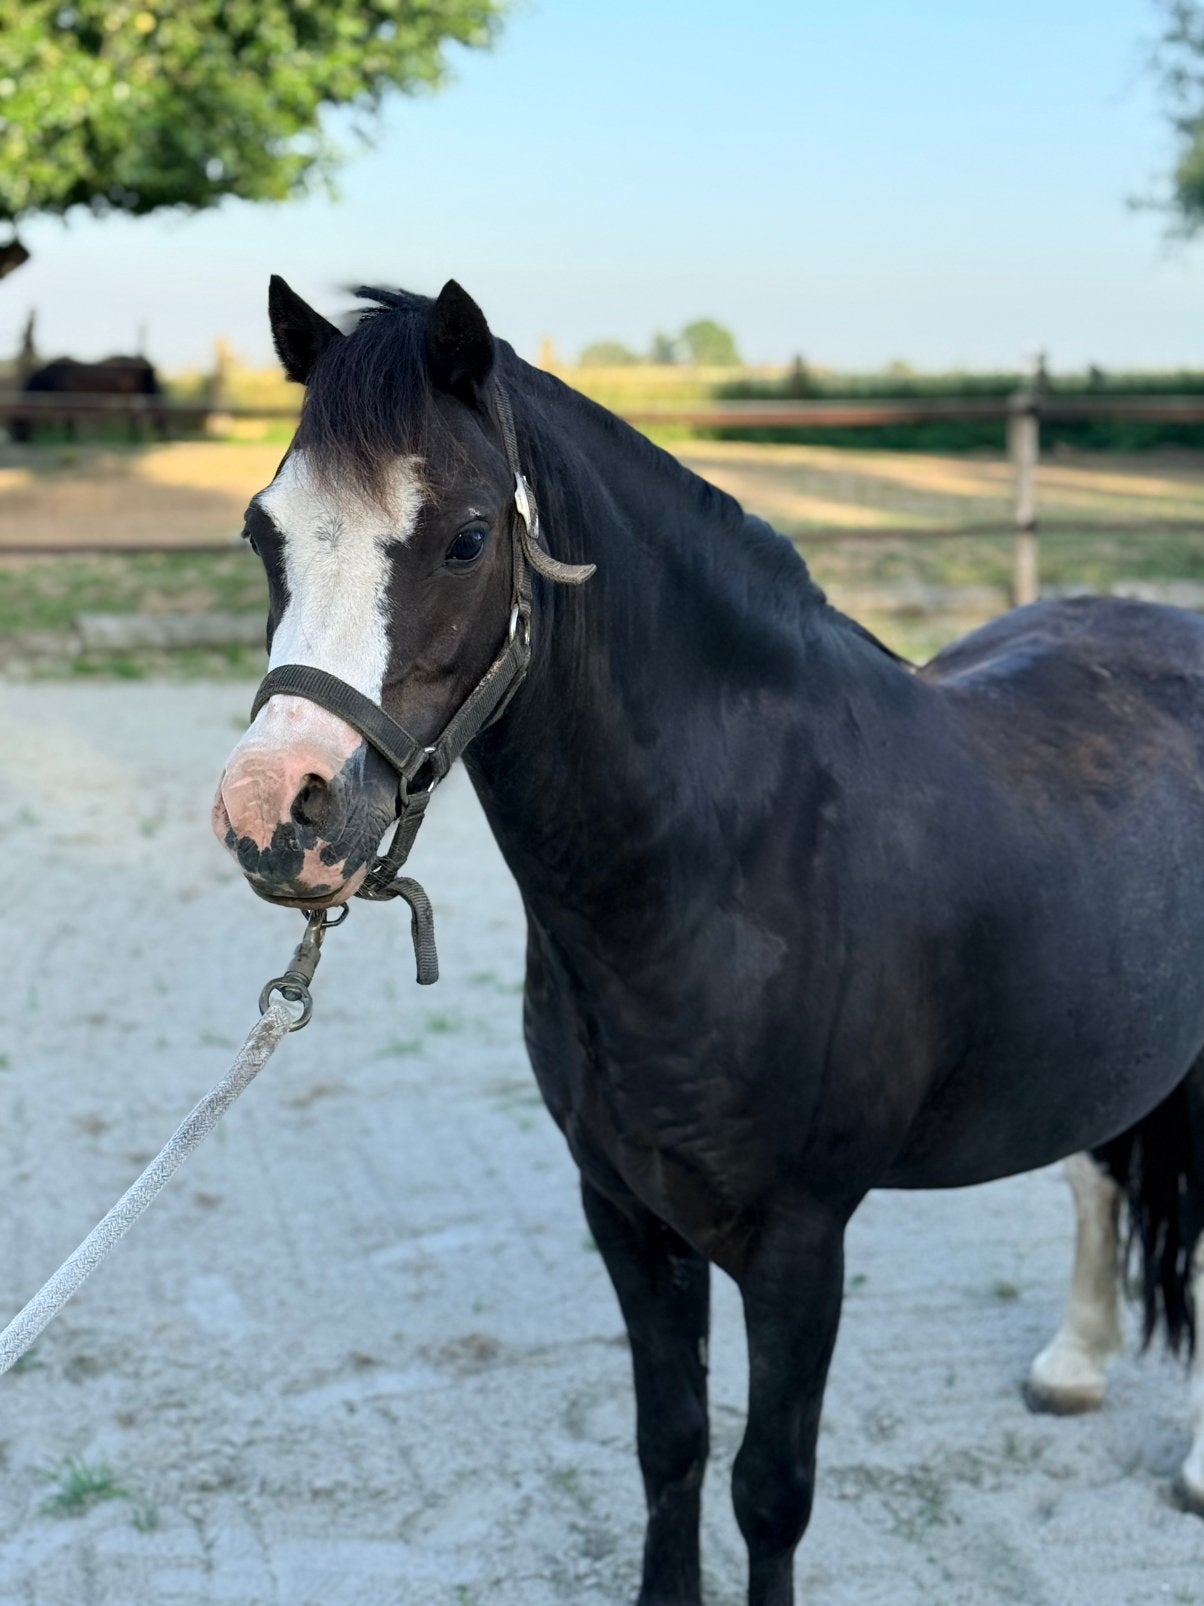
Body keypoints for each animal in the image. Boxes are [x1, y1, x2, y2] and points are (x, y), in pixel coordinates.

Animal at [212, 275, 1204, 1606]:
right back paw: (1073, 1365)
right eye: (264, 532)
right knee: (1100, 1169)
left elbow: (768, 1488)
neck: (725, 868)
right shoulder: (625, 1214)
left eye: (466, 537)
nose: (276, 808)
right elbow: (669, 1443)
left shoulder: (798, 1245)